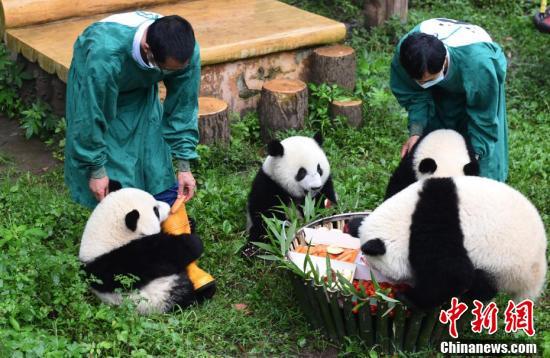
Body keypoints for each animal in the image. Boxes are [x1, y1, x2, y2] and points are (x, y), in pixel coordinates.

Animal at [354, 177, 548, 310]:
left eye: (379, 269)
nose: (382, 283)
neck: (404, 220)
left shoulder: (437, 228)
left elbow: (453, 275)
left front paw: (408, 297)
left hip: (504, 264)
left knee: (482, 281)